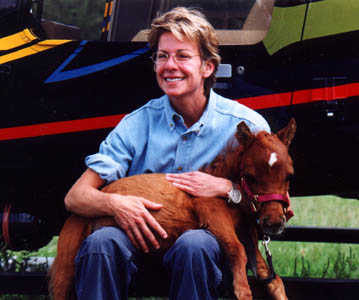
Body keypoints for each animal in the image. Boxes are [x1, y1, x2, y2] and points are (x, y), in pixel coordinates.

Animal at [50, 119, 298, 300]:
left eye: (289, 175)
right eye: (250, 176)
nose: (274, 222)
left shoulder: (249, 239)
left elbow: (271, 278)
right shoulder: (214, 217)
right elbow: (238, 260)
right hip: (65, 269)